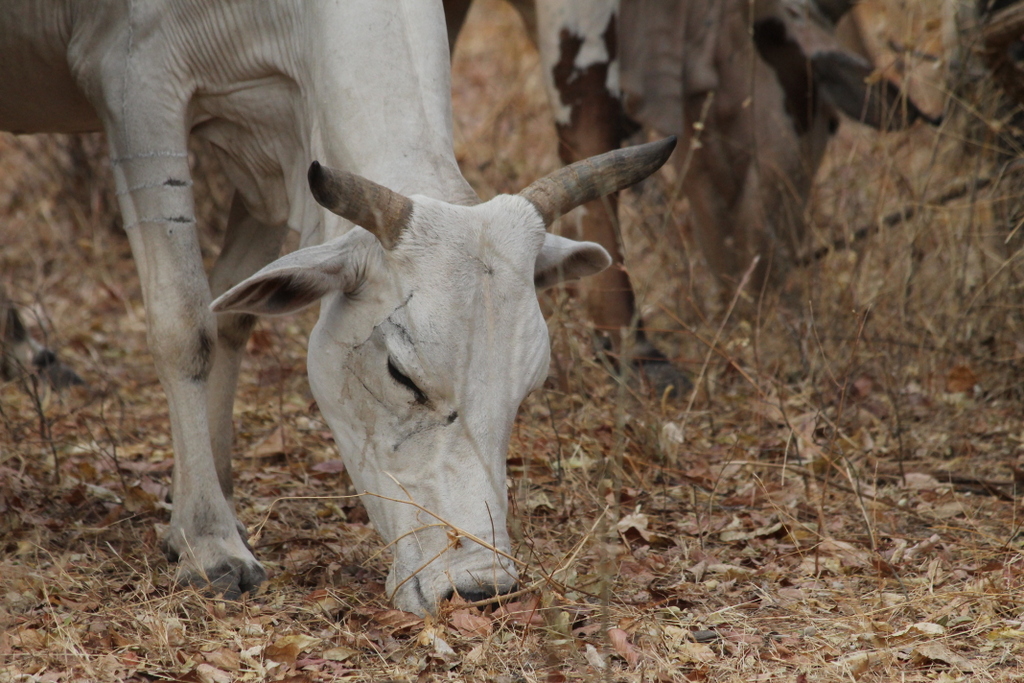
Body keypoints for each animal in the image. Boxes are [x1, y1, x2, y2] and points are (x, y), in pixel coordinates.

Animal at [0, 0, 675, 618]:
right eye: (400, 374)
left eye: (527, 388)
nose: (481, 587)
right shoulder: (135, 84)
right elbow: (186, 326)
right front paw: (209, 541)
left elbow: (229, 314)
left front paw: (204, 507)